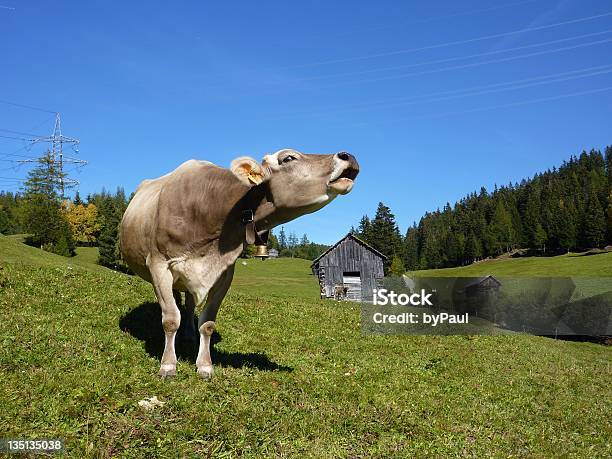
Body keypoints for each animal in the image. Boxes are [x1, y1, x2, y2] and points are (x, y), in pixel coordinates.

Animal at [119, 149, 358, 380]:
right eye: (288, 158)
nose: (348, 155)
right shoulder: (159, 264)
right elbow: (170, 319)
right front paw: (168, 365)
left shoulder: (224, 273)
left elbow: (207, 323)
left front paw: (205, 366)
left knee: (188, 305)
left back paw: (189, 335)